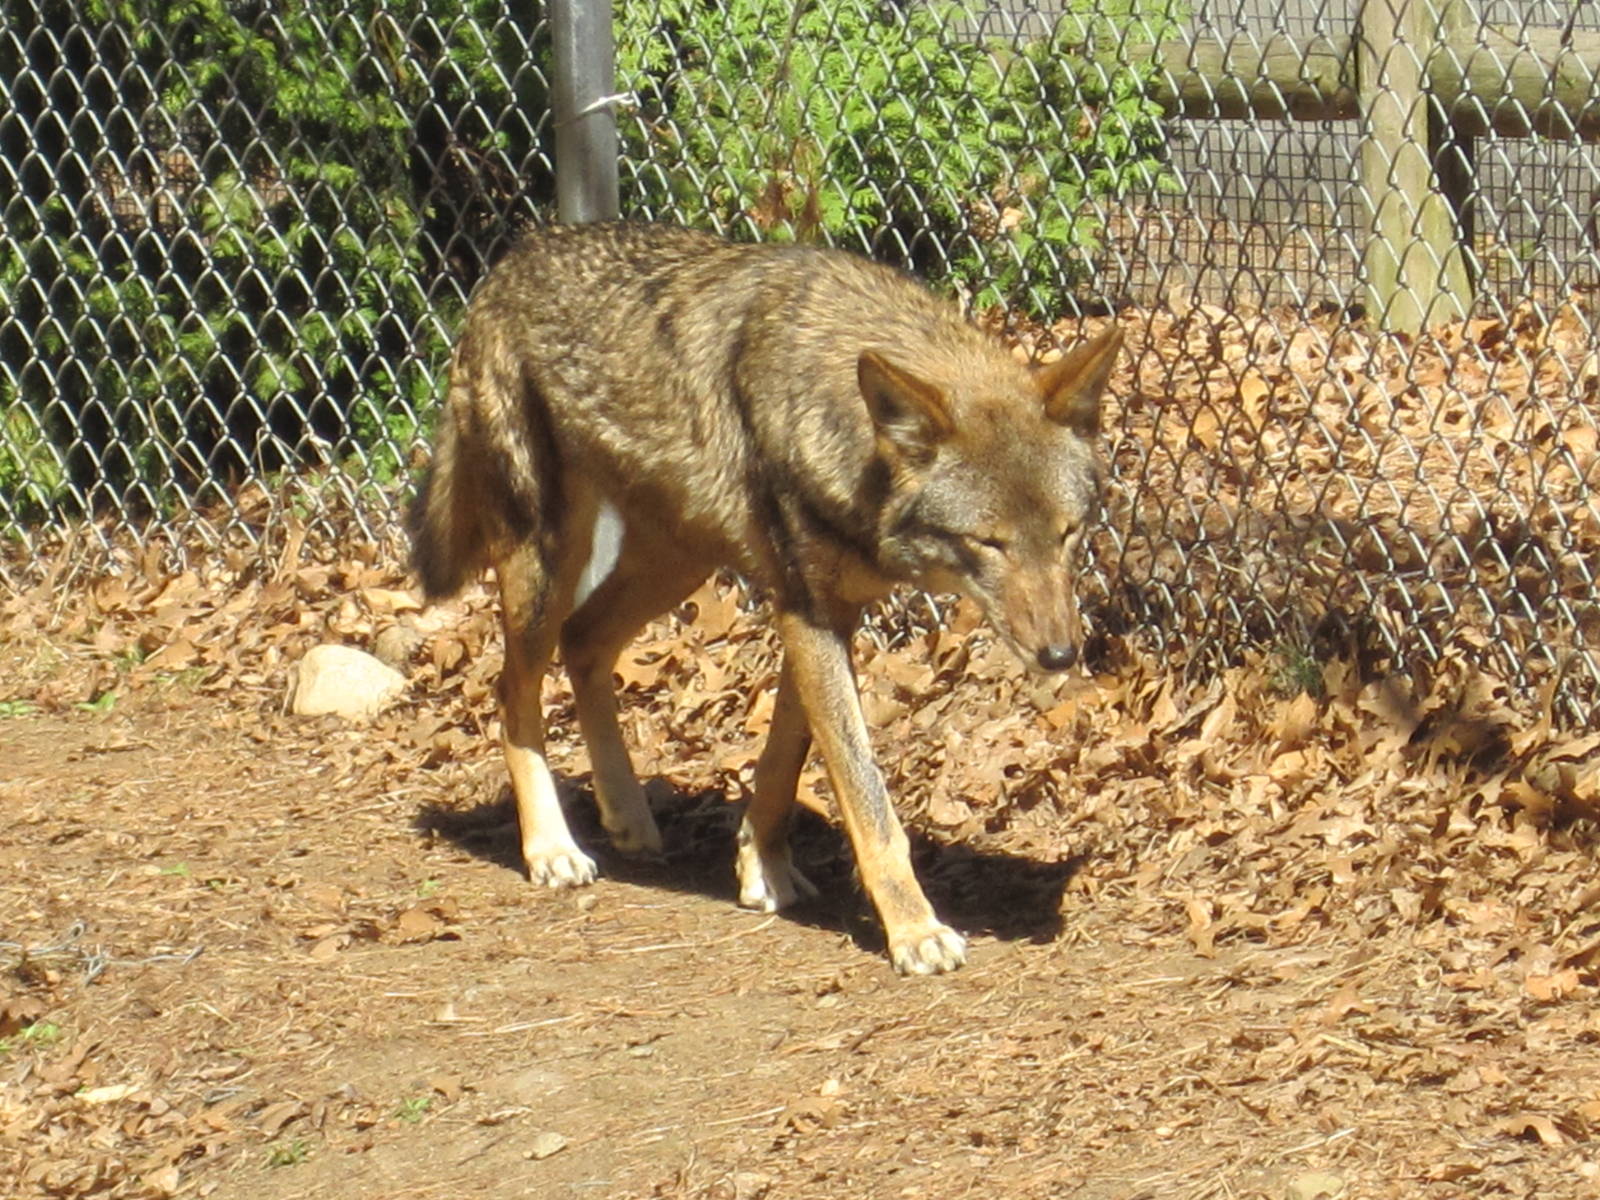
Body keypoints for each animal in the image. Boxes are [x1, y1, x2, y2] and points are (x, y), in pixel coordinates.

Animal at [410, 222, 1120, 975]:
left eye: (1069, 533)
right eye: (989, 543)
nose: (1060, 654)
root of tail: (506, 266)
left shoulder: (824, 614)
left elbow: (785, 763)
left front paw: (763, 868)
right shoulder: (808, 614)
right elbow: (866, 797)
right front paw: (914, 930)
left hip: (675, 565)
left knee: (585, 644)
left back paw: (627, 814)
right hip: (545, 566)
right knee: (512, 689)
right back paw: (551, 848)